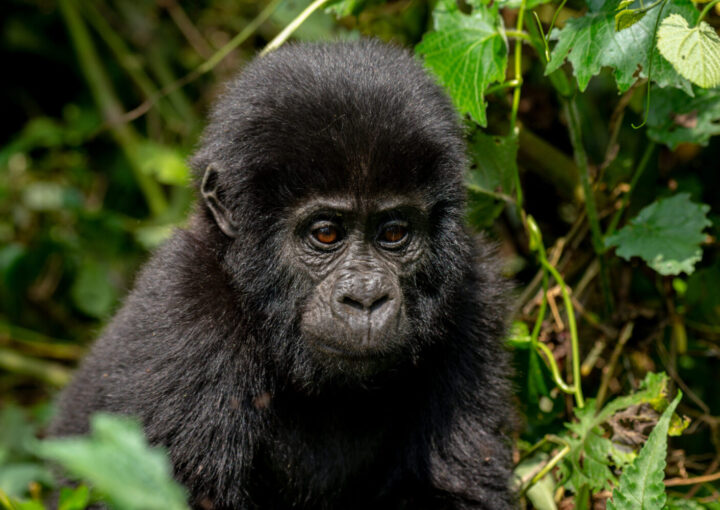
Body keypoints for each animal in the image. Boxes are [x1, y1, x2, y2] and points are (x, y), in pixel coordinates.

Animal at [50, 39, 516, 509]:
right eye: (326, 233)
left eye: (394, 233)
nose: (366, 298)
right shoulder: (186, 311)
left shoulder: (474, 296)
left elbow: (456, 490)